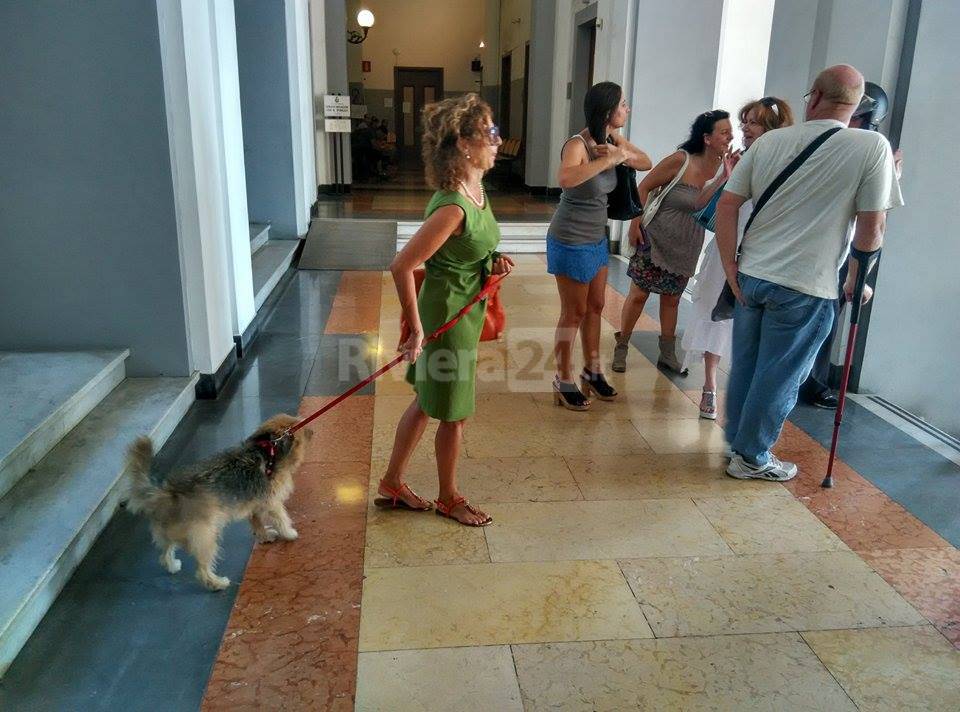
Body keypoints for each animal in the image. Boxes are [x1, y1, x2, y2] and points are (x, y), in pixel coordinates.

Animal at [124, 412, 312, 588]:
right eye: (300, 428)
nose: (312, 430)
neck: (269, 452)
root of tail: (170, 493)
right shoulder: (272, 502)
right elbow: (282, 518)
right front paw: (289, 533)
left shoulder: (255, 503)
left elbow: (257, 522)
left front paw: (264, 536)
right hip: (206, 536)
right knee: (202, 570)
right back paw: (216, 583)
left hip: (172, 532)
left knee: (165, 552)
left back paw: (172, 565)